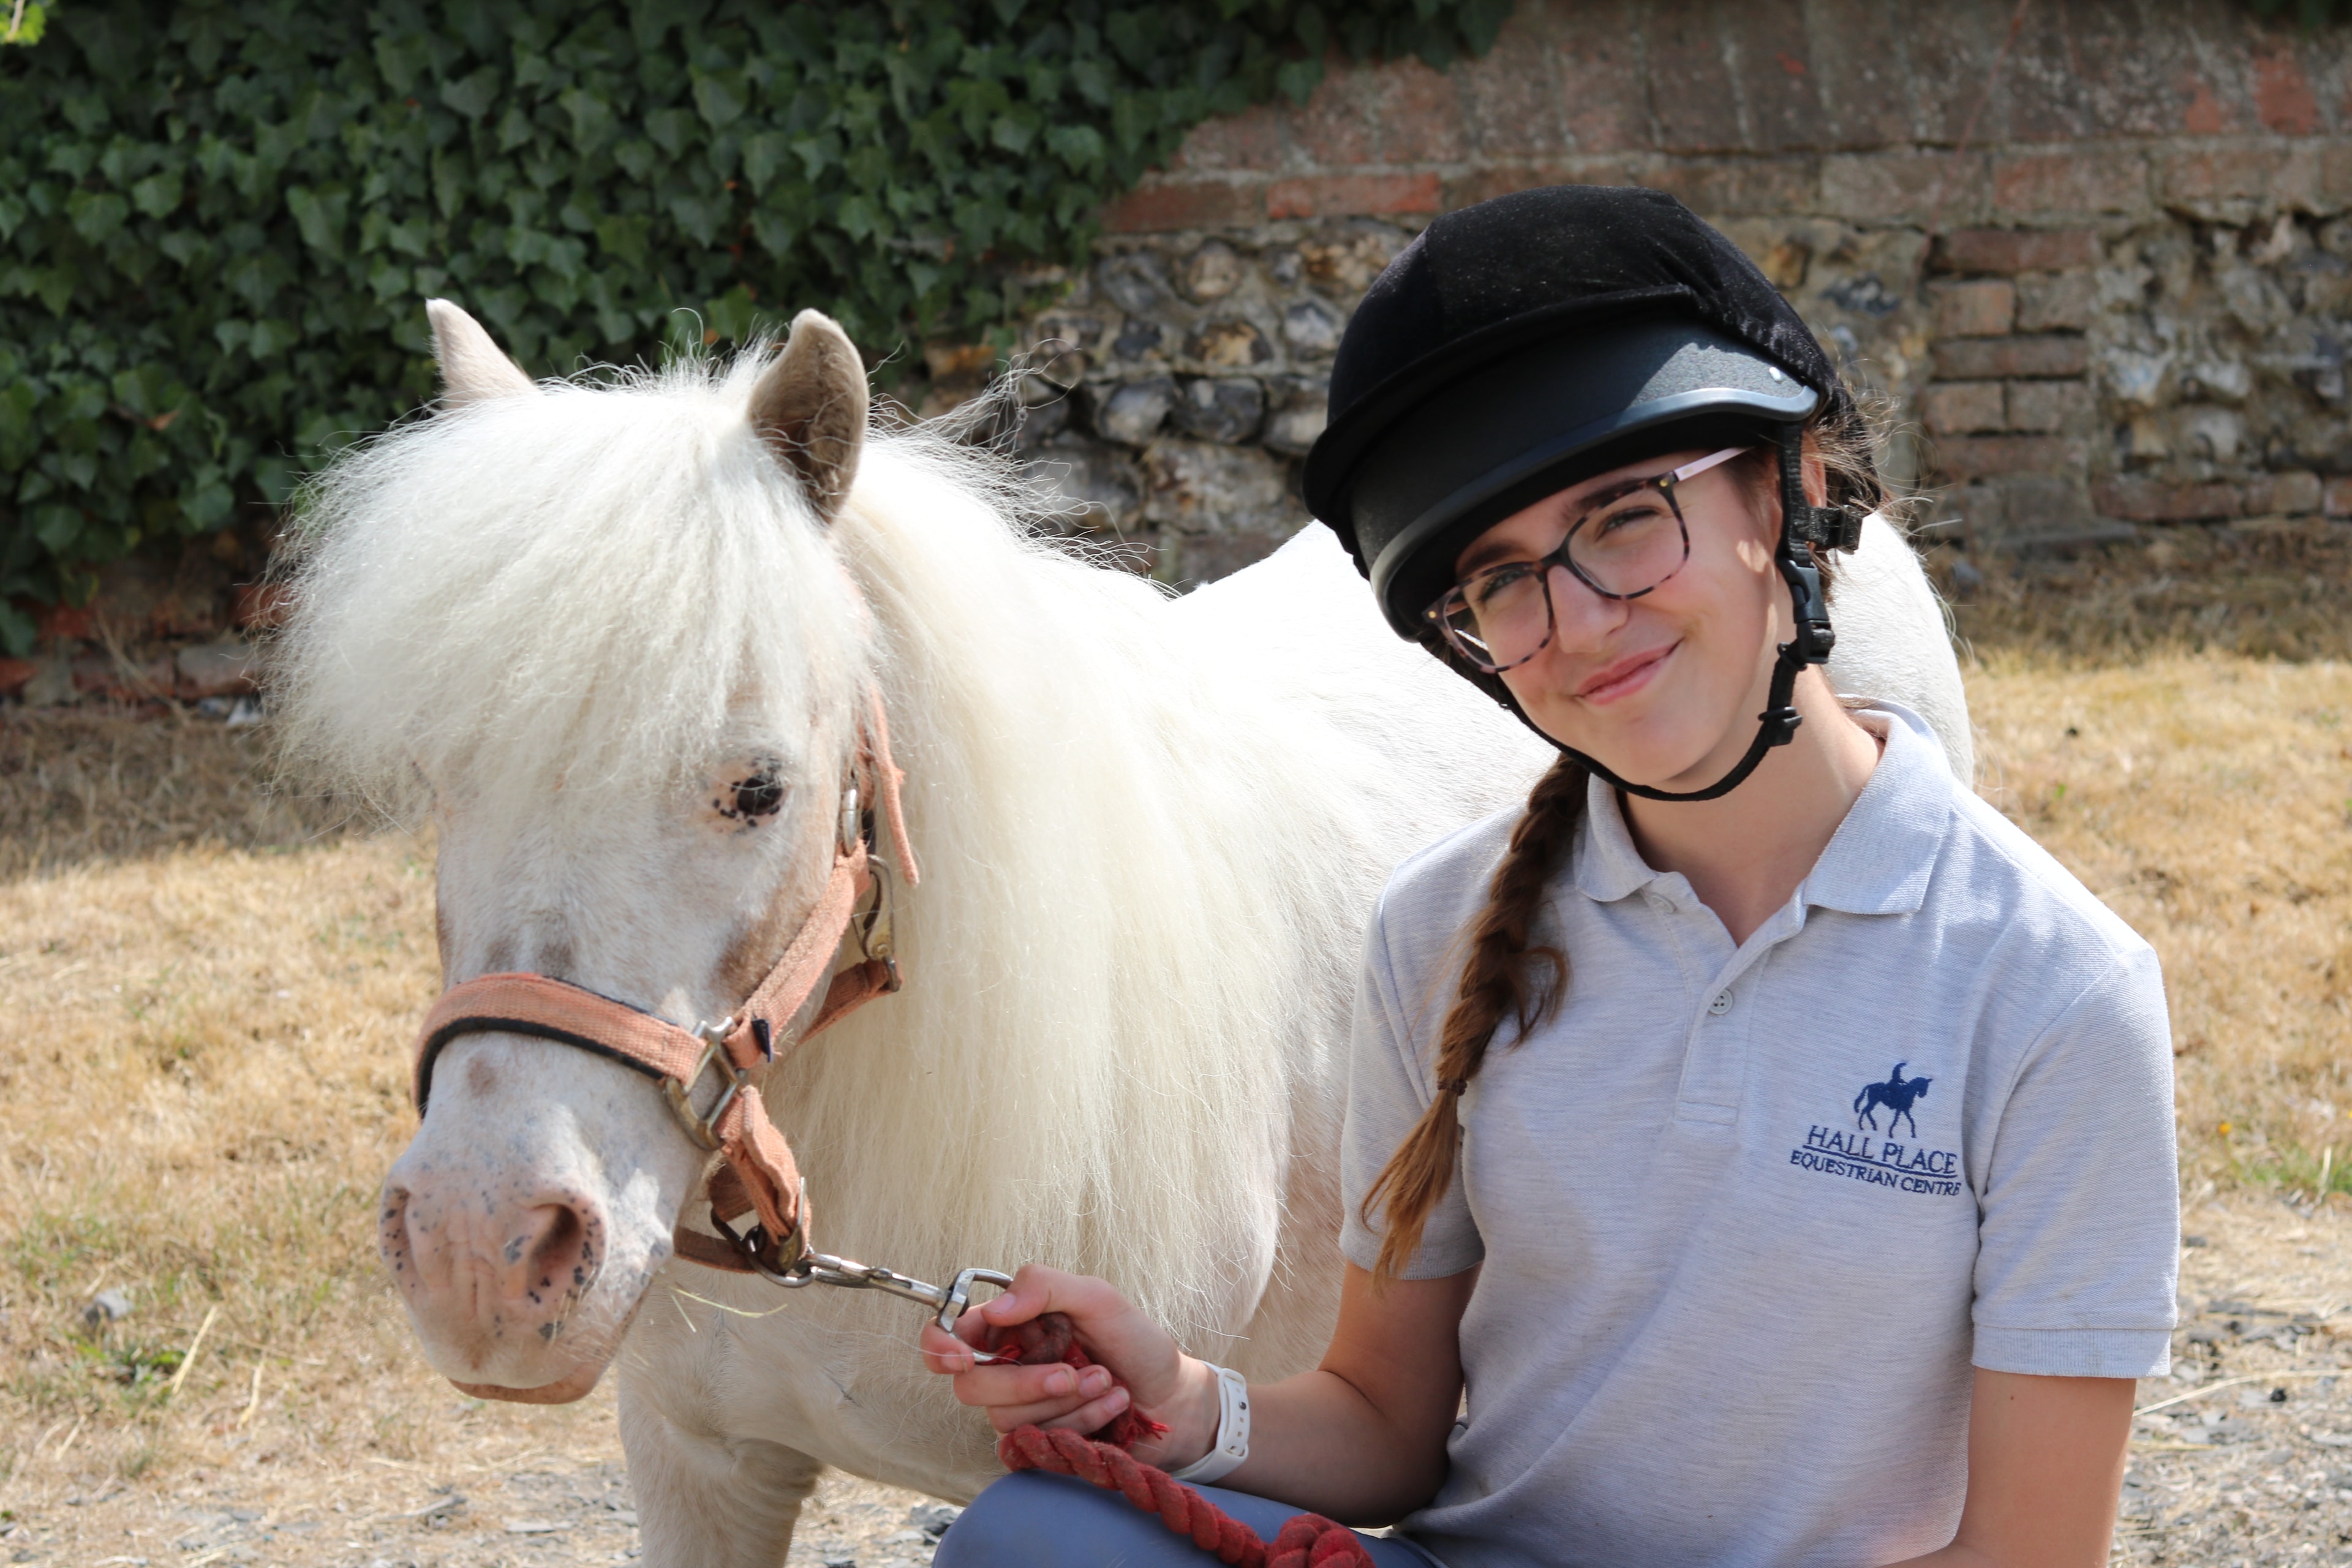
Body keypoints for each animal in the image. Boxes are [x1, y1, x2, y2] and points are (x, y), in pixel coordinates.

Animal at [1854, 1062, 1934, 1138]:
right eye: (1923, 1085)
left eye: (1927, 1086)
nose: (1922, 1095)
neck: (1908, 1093)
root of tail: (1870, 1085)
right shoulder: (1900, 1108)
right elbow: (1896, 1120)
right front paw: (1890, 1134)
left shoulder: (1905, 1110)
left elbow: (1911, 1120)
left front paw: (1913, 1134)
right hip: (1874, 1101)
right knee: (1865, 1110)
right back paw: (1861, 1126)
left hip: (1874, 1101)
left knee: (1868, 1111)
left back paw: (1874, 1126)